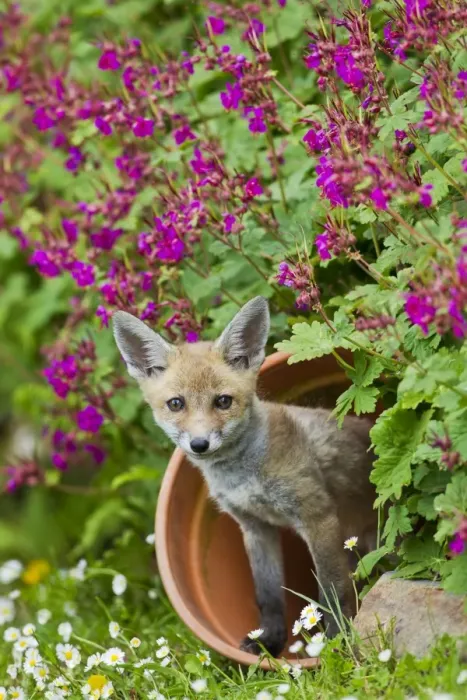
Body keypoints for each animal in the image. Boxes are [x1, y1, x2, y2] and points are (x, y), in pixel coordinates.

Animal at [112, 296, 377, 656]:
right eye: (176, 404)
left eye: (223, 401)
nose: (199, 444)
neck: (244, 477)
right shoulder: (254, 527)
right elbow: (268, 595)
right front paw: (269, 641)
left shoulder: (317, 515)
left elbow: (333, 589)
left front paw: (337, 642)